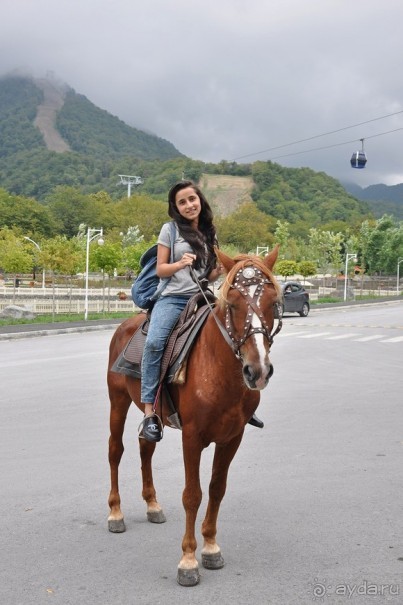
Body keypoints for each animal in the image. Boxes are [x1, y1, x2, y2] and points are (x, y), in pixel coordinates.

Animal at [109, 247, 282, 584]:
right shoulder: (192, 437)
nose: (257, 371)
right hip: (117, 401)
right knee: (115, 451)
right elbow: (192, 494)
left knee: (145, 446)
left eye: (272, 302)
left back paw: (152, 505)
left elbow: (216, 490)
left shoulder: (233, 437)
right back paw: (115, 512)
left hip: (152, 413)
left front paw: (211, 547)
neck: (221, 372)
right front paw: (188, 560)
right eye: (233, 303)